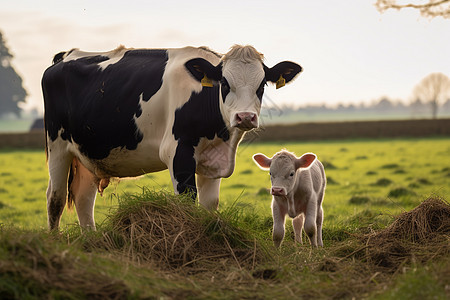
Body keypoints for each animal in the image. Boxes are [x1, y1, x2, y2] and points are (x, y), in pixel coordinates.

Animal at [42, 45, 302, 231]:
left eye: (262, 85)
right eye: (225, 83)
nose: (245, 116)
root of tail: (66, 56)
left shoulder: (213, 161)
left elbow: (209, 206)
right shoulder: (179, 153)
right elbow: (188, 200)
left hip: (87, 155)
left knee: (84, 200)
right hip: (57, 147)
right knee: (55, 199)